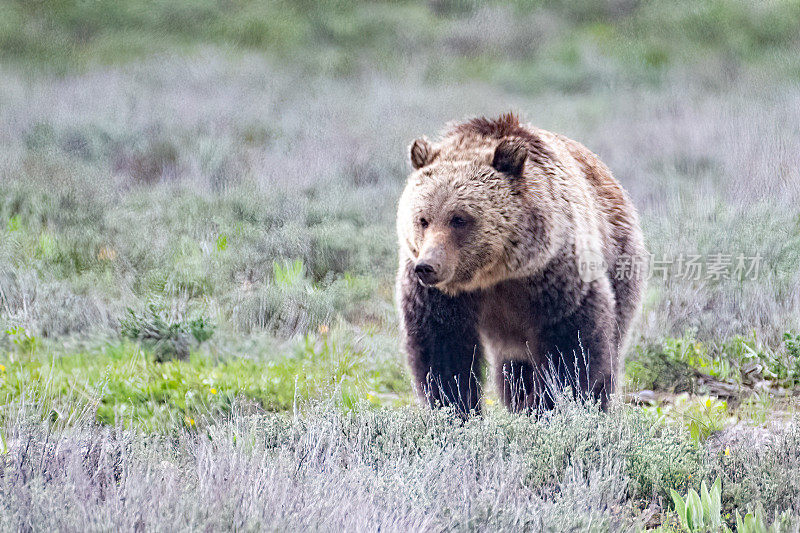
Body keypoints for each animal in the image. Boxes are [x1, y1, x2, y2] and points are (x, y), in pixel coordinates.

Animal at [396, 112, 648, 416]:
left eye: (459, 218)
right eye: (423, 219)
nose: (428, 266)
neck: (496, 274)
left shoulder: (554, 273)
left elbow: (572, 344)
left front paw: (552, 404)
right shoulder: (440, 297)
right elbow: (442, 348)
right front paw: (456, 408)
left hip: (620, 258)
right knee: (514, 368)